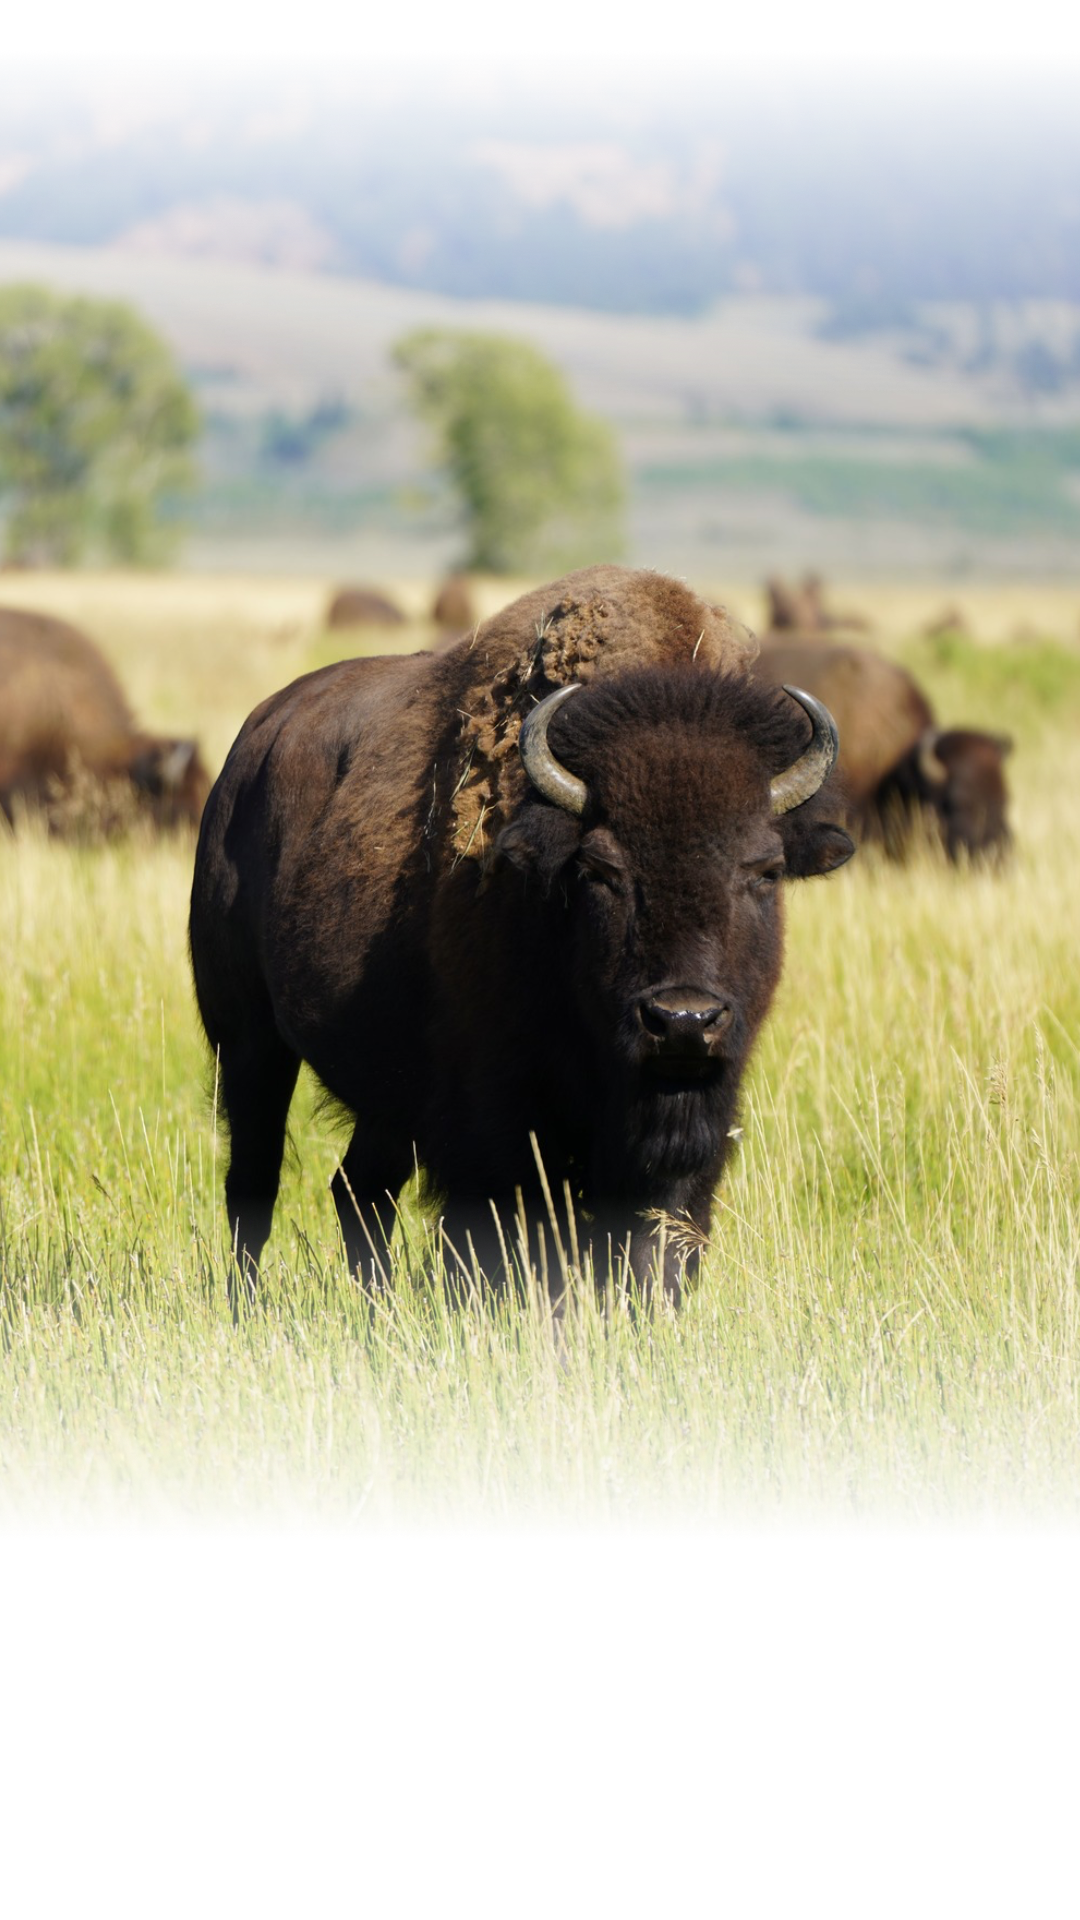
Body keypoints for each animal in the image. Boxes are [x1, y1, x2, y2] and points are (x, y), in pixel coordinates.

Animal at [190, 566, 853, 1304]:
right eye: (599, 870)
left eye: (764, 870)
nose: (683, 1020)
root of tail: (250, 750)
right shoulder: (503, 1114)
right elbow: (524, 1237)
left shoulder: (699, 1107)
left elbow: (662, 1234)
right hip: (248, 1044)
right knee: (255, 1180)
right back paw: (246, 1303)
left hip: (380, 1088)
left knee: (359, 1187)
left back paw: (377, 1305)